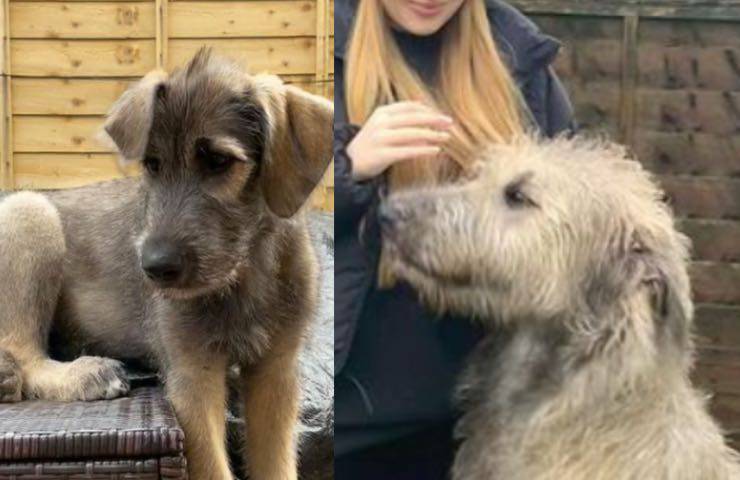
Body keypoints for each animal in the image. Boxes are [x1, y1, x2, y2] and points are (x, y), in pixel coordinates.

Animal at [0, 49, 332, 480]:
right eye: (152, 165)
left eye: (219, 161)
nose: (154, 268)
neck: (244, 272)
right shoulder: (192, 375)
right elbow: (214, 467)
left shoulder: (276, 371)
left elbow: (276, 465)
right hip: (29, 211)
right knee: (23, 354)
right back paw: (86, 373)